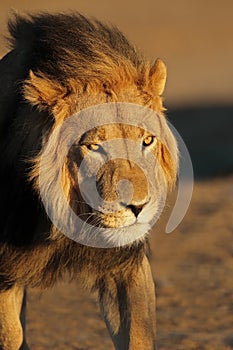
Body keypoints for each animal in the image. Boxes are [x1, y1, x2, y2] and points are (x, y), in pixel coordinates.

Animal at [0, 12, 177, 348]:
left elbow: (138, 334)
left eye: (147, 140)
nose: (139, 207)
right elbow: (10, 334)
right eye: (94, 146)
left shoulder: (125, 264)